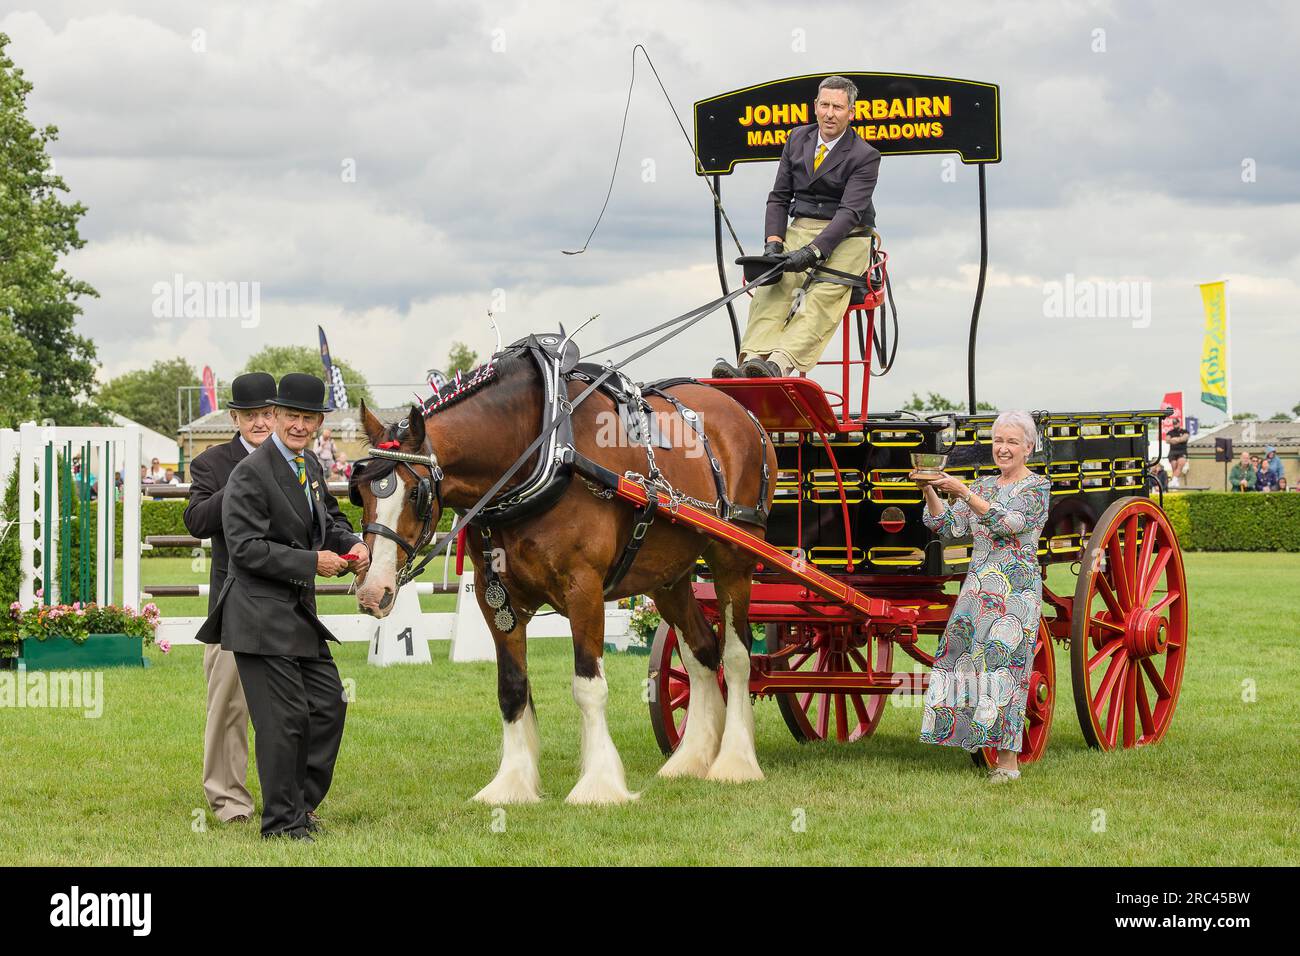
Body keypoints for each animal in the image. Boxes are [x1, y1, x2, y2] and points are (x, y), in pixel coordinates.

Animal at [348, 348, 769, 806]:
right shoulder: (495, 596)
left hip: (734, 560)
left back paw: (735, 761)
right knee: (701, 652)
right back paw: (690, 759)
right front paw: (510, 784)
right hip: (668, 576)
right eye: (362, 492)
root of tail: (740, 409)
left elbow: (588, 686)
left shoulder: (583, 587)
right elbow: (512, 687)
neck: (542, 452)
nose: (373, 591)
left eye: (416, 494)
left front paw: (599, 785)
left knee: (737, 654)